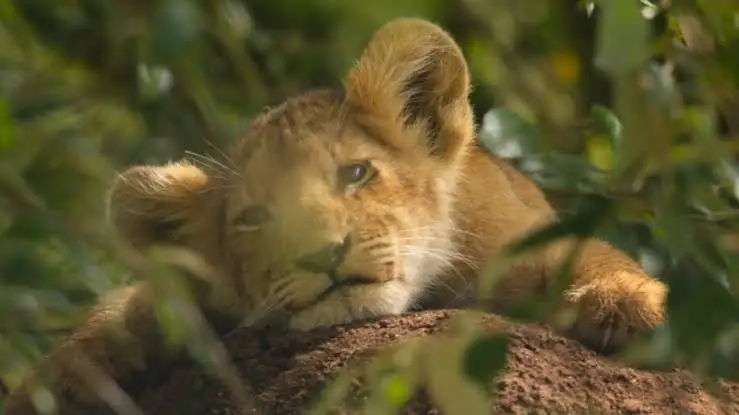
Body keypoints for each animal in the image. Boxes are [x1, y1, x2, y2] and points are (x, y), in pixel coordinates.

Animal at [3, 18, 667, 414]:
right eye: (253, 217)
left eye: (356, 173)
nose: (323, 253)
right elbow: (120, 313)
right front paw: (56, 382)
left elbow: (591, 252)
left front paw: (625, 304)